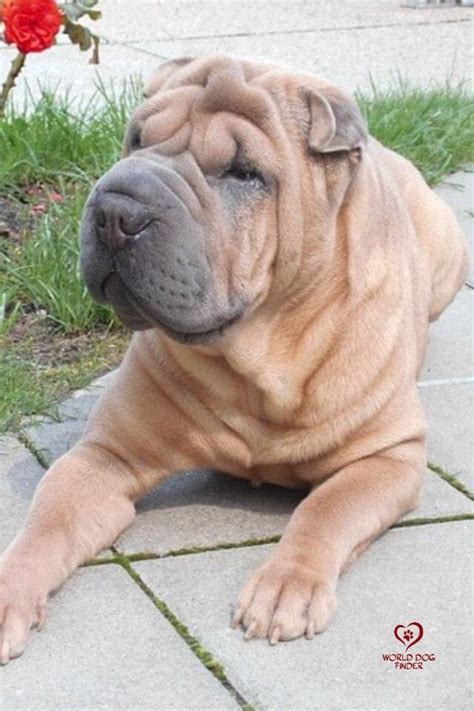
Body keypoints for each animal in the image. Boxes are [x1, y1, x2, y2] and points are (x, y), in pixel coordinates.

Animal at [0, 58, 468, 664]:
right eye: (136, 140)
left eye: (244, 174)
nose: (115, 209)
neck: (255, 358)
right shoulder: (103, 456)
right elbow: (46, 523)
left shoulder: (388, 457)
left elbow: (325, 510)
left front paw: (285, 586)